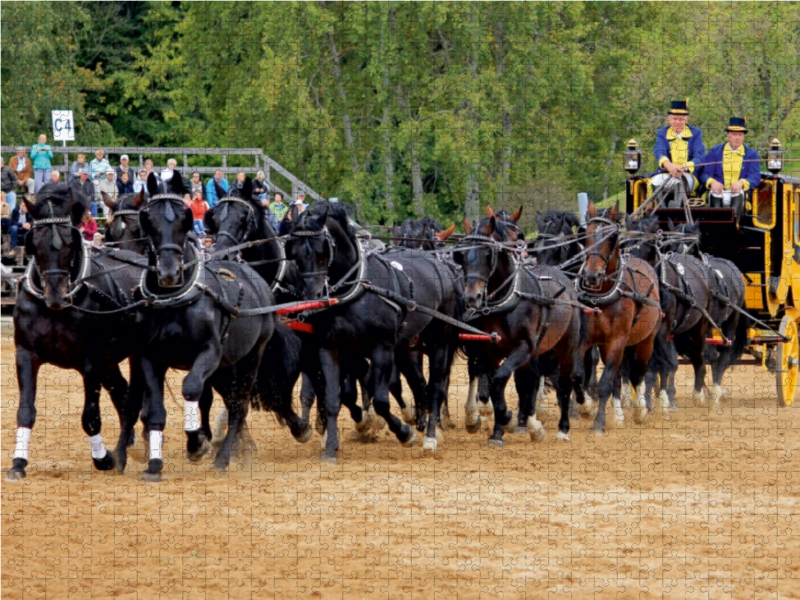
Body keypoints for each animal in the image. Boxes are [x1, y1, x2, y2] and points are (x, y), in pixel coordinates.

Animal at [9, 183, 145, 478]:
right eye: (34, 242)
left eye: (70, 242)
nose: (56, 295)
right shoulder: (25, 355)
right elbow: (25, 411)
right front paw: (18, 462)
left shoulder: (91, 361)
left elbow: (90, 417)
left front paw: (103, 458)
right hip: (110, 359)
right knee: (121, 390)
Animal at [114, 171, 278, 480]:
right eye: (148, 218)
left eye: (185, 217)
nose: (168, 273)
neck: (173, 299)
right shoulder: (150, 357)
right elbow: (155, 410)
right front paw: (154, 464)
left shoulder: (209, 352)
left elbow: (191, 388)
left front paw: (196, 444)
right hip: (228, 364)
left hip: (253, 355)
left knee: (239, 406)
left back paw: (224, 457)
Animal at [288, 202, 460, 460]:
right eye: (295, 252)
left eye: (322, 250)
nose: (312, 297)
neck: (355, 290)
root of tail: (438, 263)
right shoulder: (330, 347)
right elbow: (333, 397)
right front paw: (330, 448)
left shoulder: (382, 348)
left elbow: (381, 400)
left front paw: (404, 433)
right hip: (405, 346)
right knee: (418, 383)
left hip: (439, 339)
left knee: (436, 385)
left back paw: (430, 436)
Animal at [576, 202, 664, 432]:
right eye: (586, 235)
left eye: (611, 238)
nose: (592, 276)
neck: (603, 294)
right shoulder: (587, 339)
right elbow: (579, 374)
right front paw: (586, 407)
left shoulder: (618, 339)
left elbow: (606, 382)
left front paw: (599, 423)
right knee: (618, 375)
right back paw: (618, 415)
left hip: (645, 340)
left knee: (638, 372)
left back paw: (640, 409)